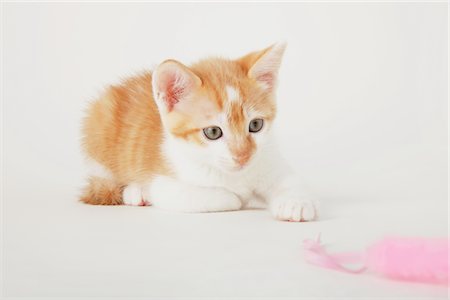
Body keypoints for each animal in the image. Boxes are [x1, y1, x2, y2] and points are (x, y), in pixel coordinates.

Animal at [82, 44, 318, 223]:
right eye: (213, 132)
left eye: (256, 125)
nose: (243, 156)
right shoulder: (168, 185)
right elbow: (226, 197)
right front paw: (239, 197)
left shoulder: (268, 157)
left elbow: (291, 180)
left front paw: (295, 203)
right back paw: (135, 192)